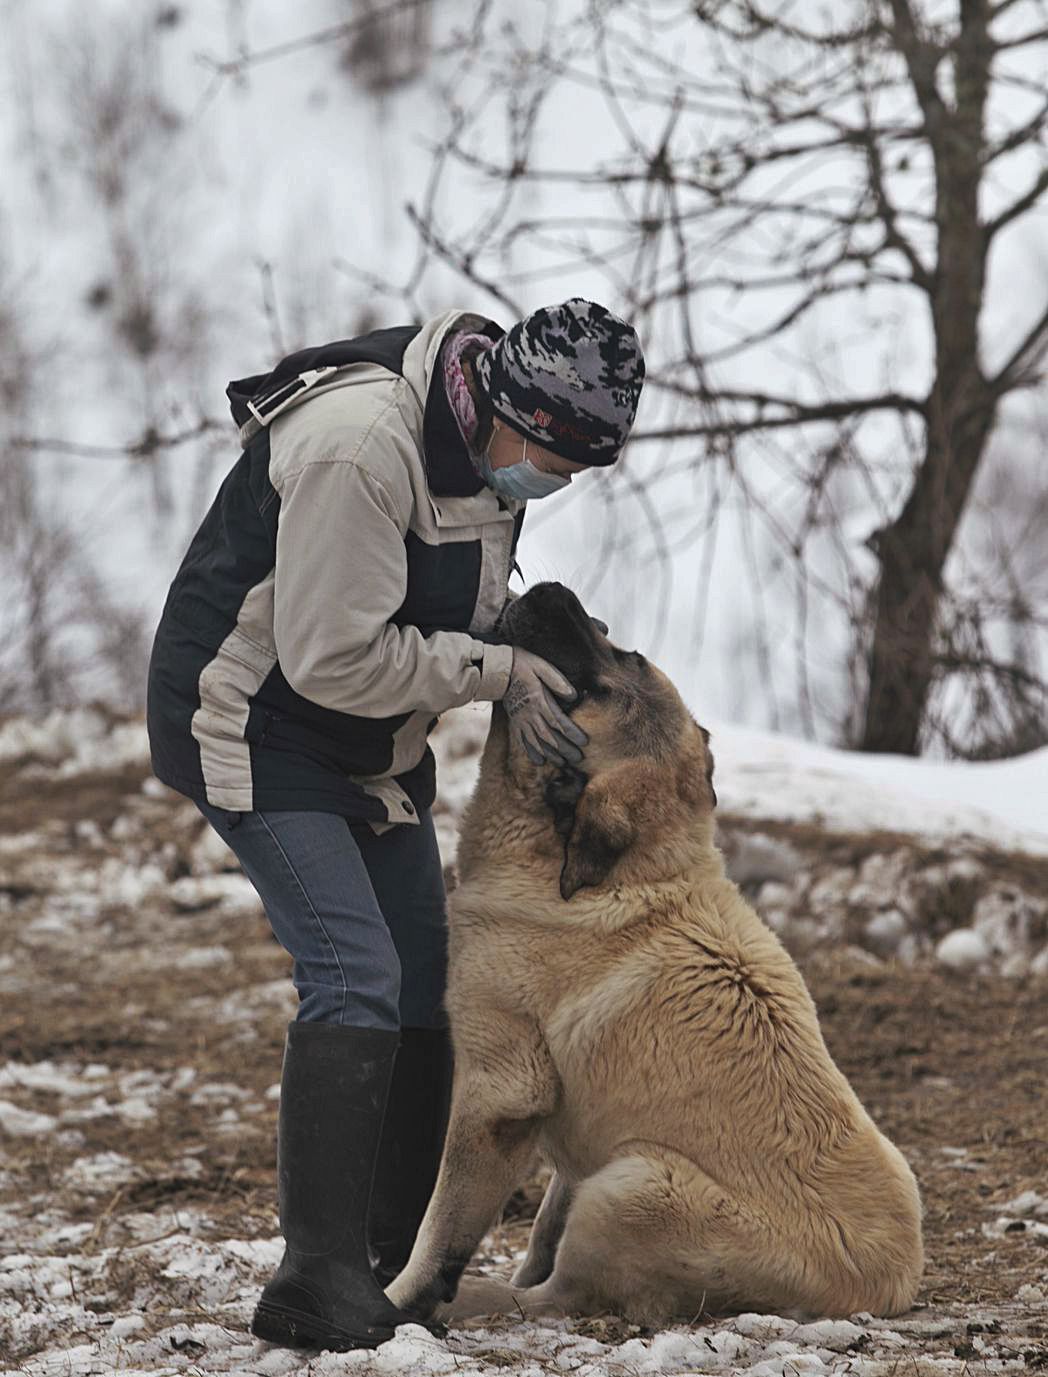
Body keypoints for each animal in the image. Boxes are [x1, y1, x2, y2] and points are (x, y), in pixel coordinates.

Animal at [385, 586, 925, 1327]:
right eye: (625, 650)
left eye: (601, 680)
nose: (552, 590)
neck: (623, 873)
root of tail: (880, 1291)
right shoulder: (576, 1143)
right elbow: (543, 1218)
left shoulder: (500, 1090)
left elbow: (439, 1226)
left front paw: (401, 1296)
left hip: (634, 1183)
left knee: (560, 1295)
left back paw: (472, 1298)